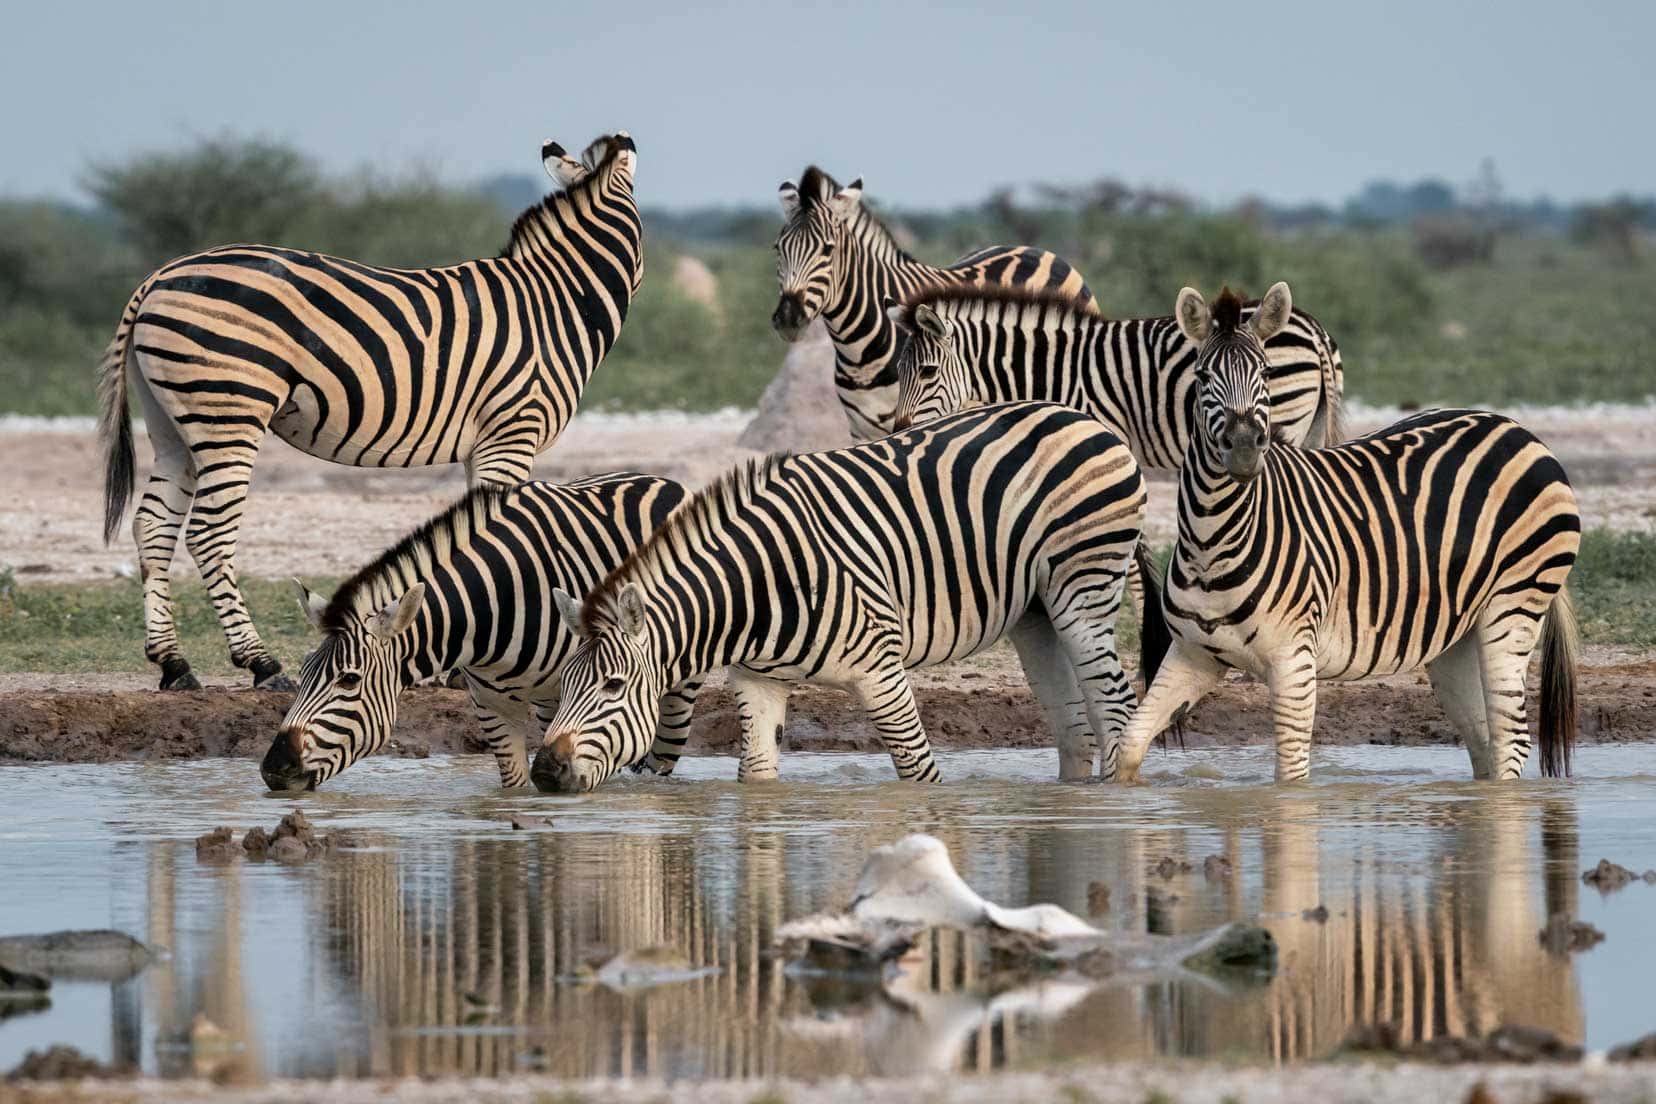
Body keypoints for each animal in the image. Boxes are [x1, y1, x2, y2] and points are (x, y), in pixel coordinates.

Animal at [93, 134, 642, 695]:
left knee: (153, 525)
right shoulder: (513, 431)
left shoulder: (484, 445)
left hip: (172, 423)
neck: (557, 301)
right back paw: (261, 663)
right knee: (208, 532)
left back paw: (173, 663)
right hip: (228, 410)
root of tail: (159, 277)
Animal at [261, 470, 702, 791]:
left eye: (349, 680)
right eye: (302, 673)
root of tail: (663, 481)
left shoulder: (586, 692)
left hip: (677, 691)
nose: (272, 769)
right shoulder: (491, 704)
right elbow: (516, 784)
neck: (492, 607)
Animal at [529, 398, 1152, 794]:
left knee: (1115, 708)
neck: (757, 591)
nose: (543, 773)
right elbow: (755, 777)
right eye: (562, 684)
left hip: (1083, 586)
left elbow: (918, 773)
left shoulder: (881, 670)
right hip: (1034, 613)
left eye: (613, 686)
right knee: (1074, 725)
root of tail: (1083, 418)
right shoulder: (756, 679)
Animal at [771, 165, 1092, 440]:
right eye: (777, 248)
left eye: (828, 250)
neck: (859, 352)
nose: (788, 317)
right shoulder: (861, 429)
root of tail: (1038, 250)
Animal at [1112, 284, 1576, 784]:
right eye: (1201, 376)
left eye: (1266, 372)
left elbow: (1290, 778)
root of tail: (1514, 427)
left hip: (1513, 606)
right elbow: (1130, 745)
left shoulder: (1294, 659)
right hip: (1457, 633)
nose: (1245, 448)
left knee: (1512, 738)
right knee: (1486, 740)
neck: (1212, 541)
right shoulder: (1193, 655)